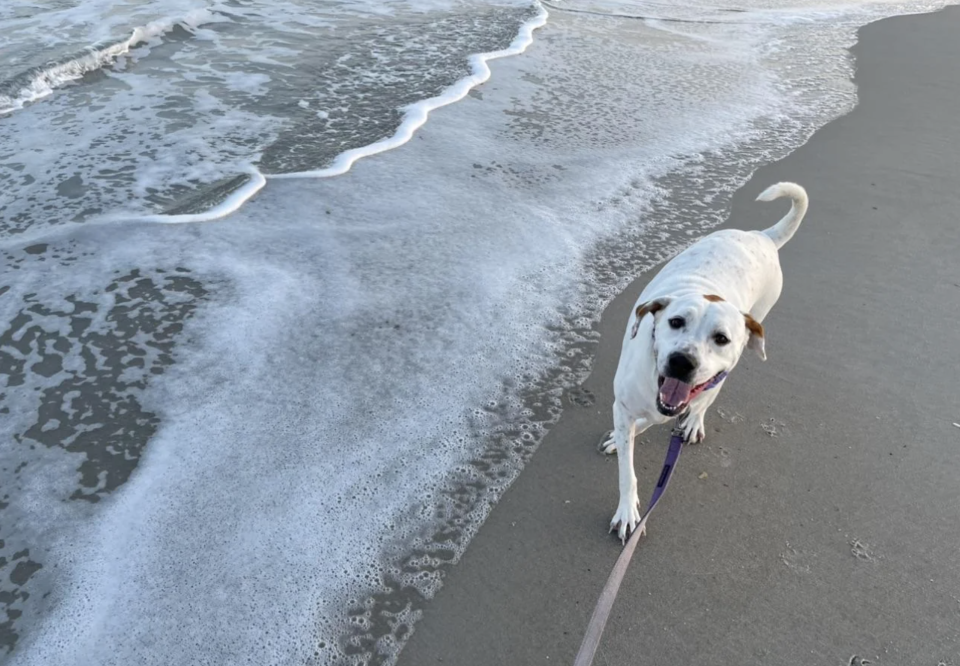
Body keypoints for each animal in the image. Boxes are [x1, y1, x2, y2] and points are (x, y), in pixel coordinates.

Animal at [600, 182, 808, 540]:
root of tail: (762, 237)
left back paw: (693, 422)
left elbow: (662, 418)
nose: (682, 362)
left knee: (706, 401)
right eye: (675, 322)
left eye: (721, 338)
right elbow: (628, 467)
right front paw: (627, 508)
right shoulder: (625, 403)